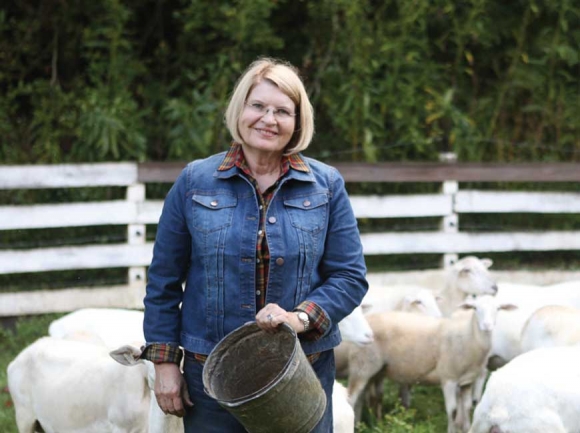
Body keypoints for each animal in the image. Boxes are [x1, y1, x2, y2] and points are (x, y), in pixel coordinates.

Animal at [346, 296, 516, 430]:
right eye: (475, 308)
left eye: (498, 309)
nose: (487, 326)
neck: (468, 336)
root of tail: (367, 319)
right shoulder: (448, 378)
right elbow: (453, 411)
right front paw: (452, 430)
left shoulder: (467, 381)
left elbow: (467, 408)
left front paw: (466, 428)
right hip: (362, 365)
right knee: (351, 398)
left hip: (373, 370)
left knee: (361, 398)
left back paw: (360, 424)